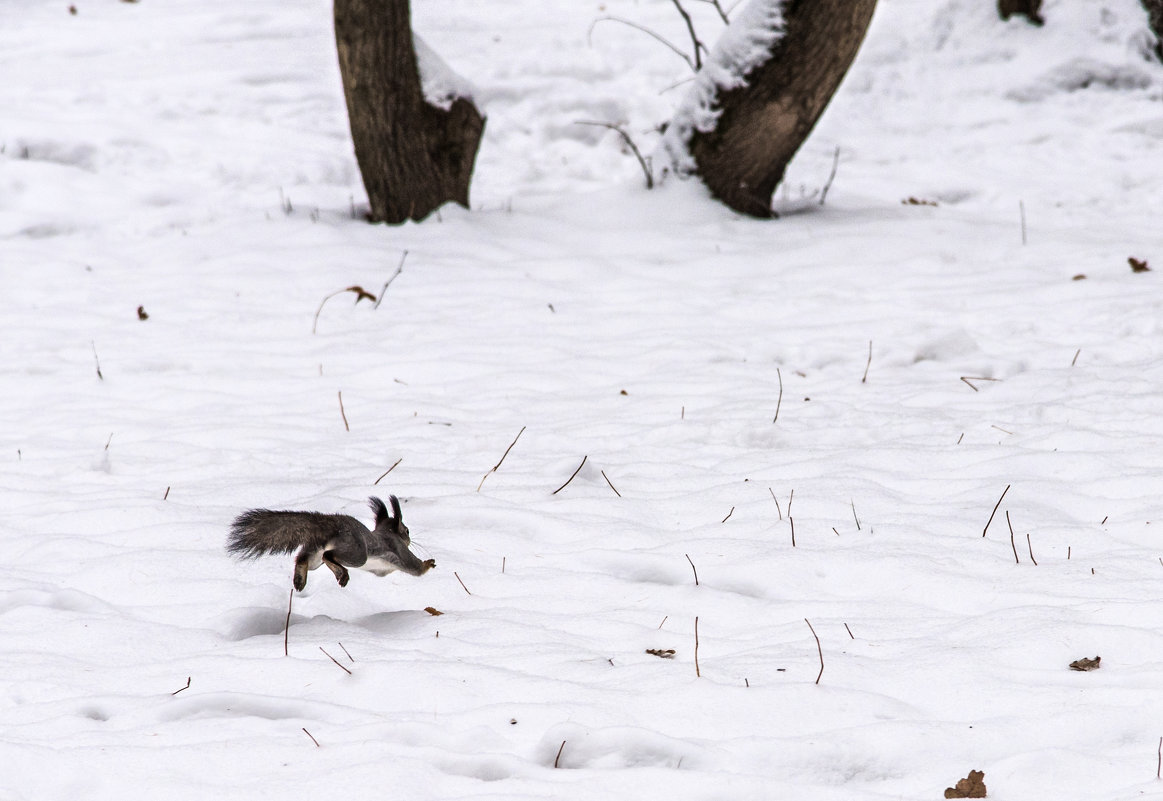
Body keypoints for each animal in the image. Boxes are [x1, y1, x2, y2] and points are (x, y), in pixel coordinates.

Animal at [227, 492, 437, 588]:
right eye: (407, 531)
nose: (410, 539)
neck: (385, 532)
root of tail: (332, 525)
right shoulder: (399, 550)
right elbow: (415, 567)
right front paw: (428, 563)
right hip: (356, 553)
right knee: (329, 556)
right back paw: (341, 574)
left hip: (314, 552)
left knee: (302, 559)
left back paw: (300, 580)